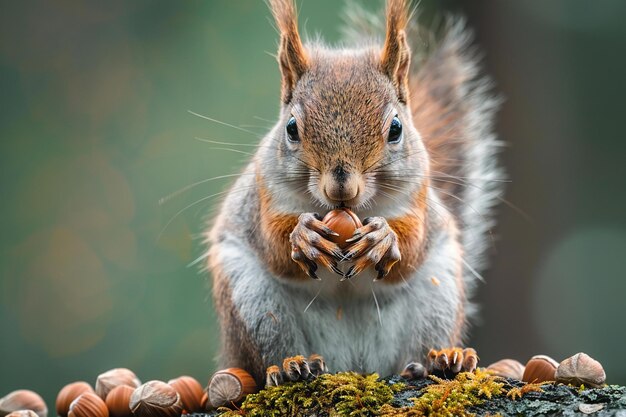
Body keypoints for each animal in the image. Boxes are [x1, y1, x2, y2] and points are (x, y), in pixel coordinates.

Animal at [205, 0, 502, 386]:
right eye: (291, 128)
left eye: (396, 129)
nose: (341, 187)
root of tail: (355, 364)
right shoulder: (263, 195)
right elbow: (272, 244)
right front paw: (303, 235)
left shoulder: (417, 198)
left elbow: (413, 245)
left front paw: (384, 238)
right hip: (254, 303)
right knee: (270, 346)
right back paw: (291, 366)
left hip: (439, 294)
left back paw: (441, 360)